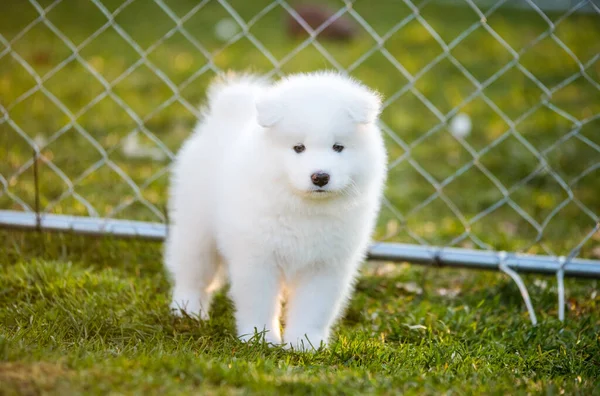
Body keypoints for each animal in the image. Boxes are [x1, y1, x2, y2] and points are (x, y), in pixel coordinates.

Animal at [164, 71, 390, 350]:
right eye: (298, 148)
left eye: (338, 147)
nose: (320, 177)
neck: (305, 210)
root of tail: (224, 117)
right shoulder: (258, 257)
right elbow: (258, 303)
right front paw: (260, 339)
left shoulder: (326, 264)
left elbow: (314, 308)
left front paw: (305, 344)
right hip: (196, 229)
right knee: (192, 273)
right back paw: (187, 312)